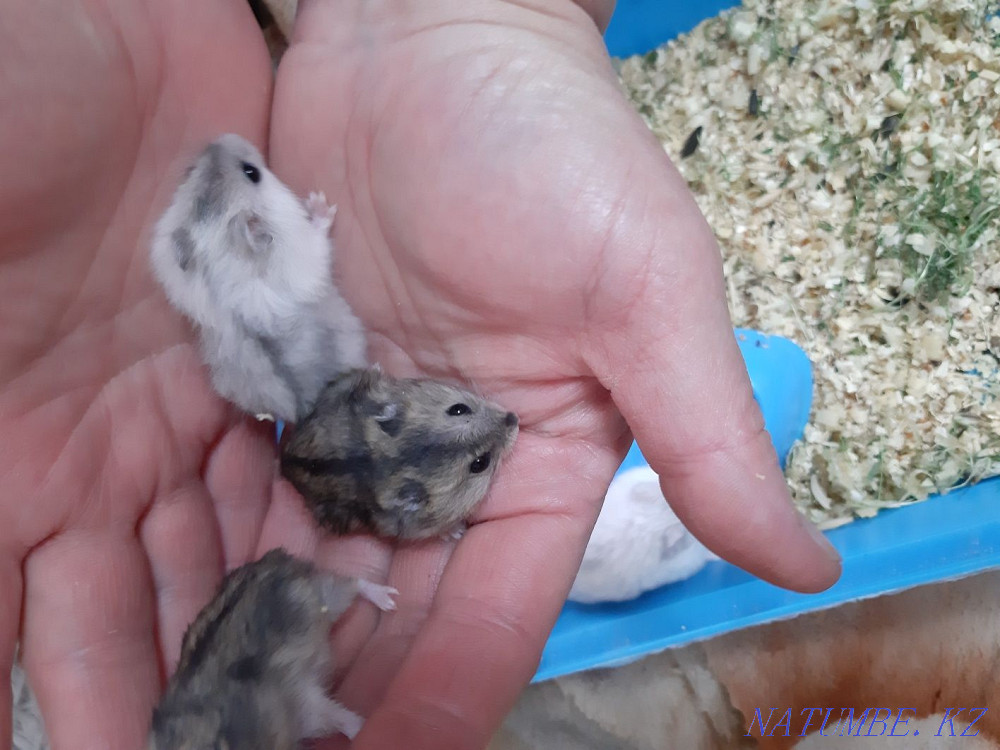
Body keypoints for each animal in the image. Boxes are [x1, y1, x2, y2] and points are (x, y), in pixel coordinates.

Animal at [147, 548, 397, 750]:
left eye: (219, 745)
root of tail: (274, 557)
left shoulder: (305, 700)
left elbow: (338, 715)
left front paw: (363, 726)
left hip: (323, 597)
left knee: (354, 582)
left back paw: (389, 600)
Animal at [149, 133, 367, 423]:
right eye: (251, 172)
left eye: (189, 171)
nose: (221, 138)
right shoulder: (307, 254)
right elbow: (320, 238)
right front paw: (319, 203)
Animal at [280, 367, 519, 540]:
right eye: (480, 463)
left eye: (458, 408)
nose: (514, 418)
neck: (389, 457)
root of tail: (285, 460)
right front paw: (457, 532)